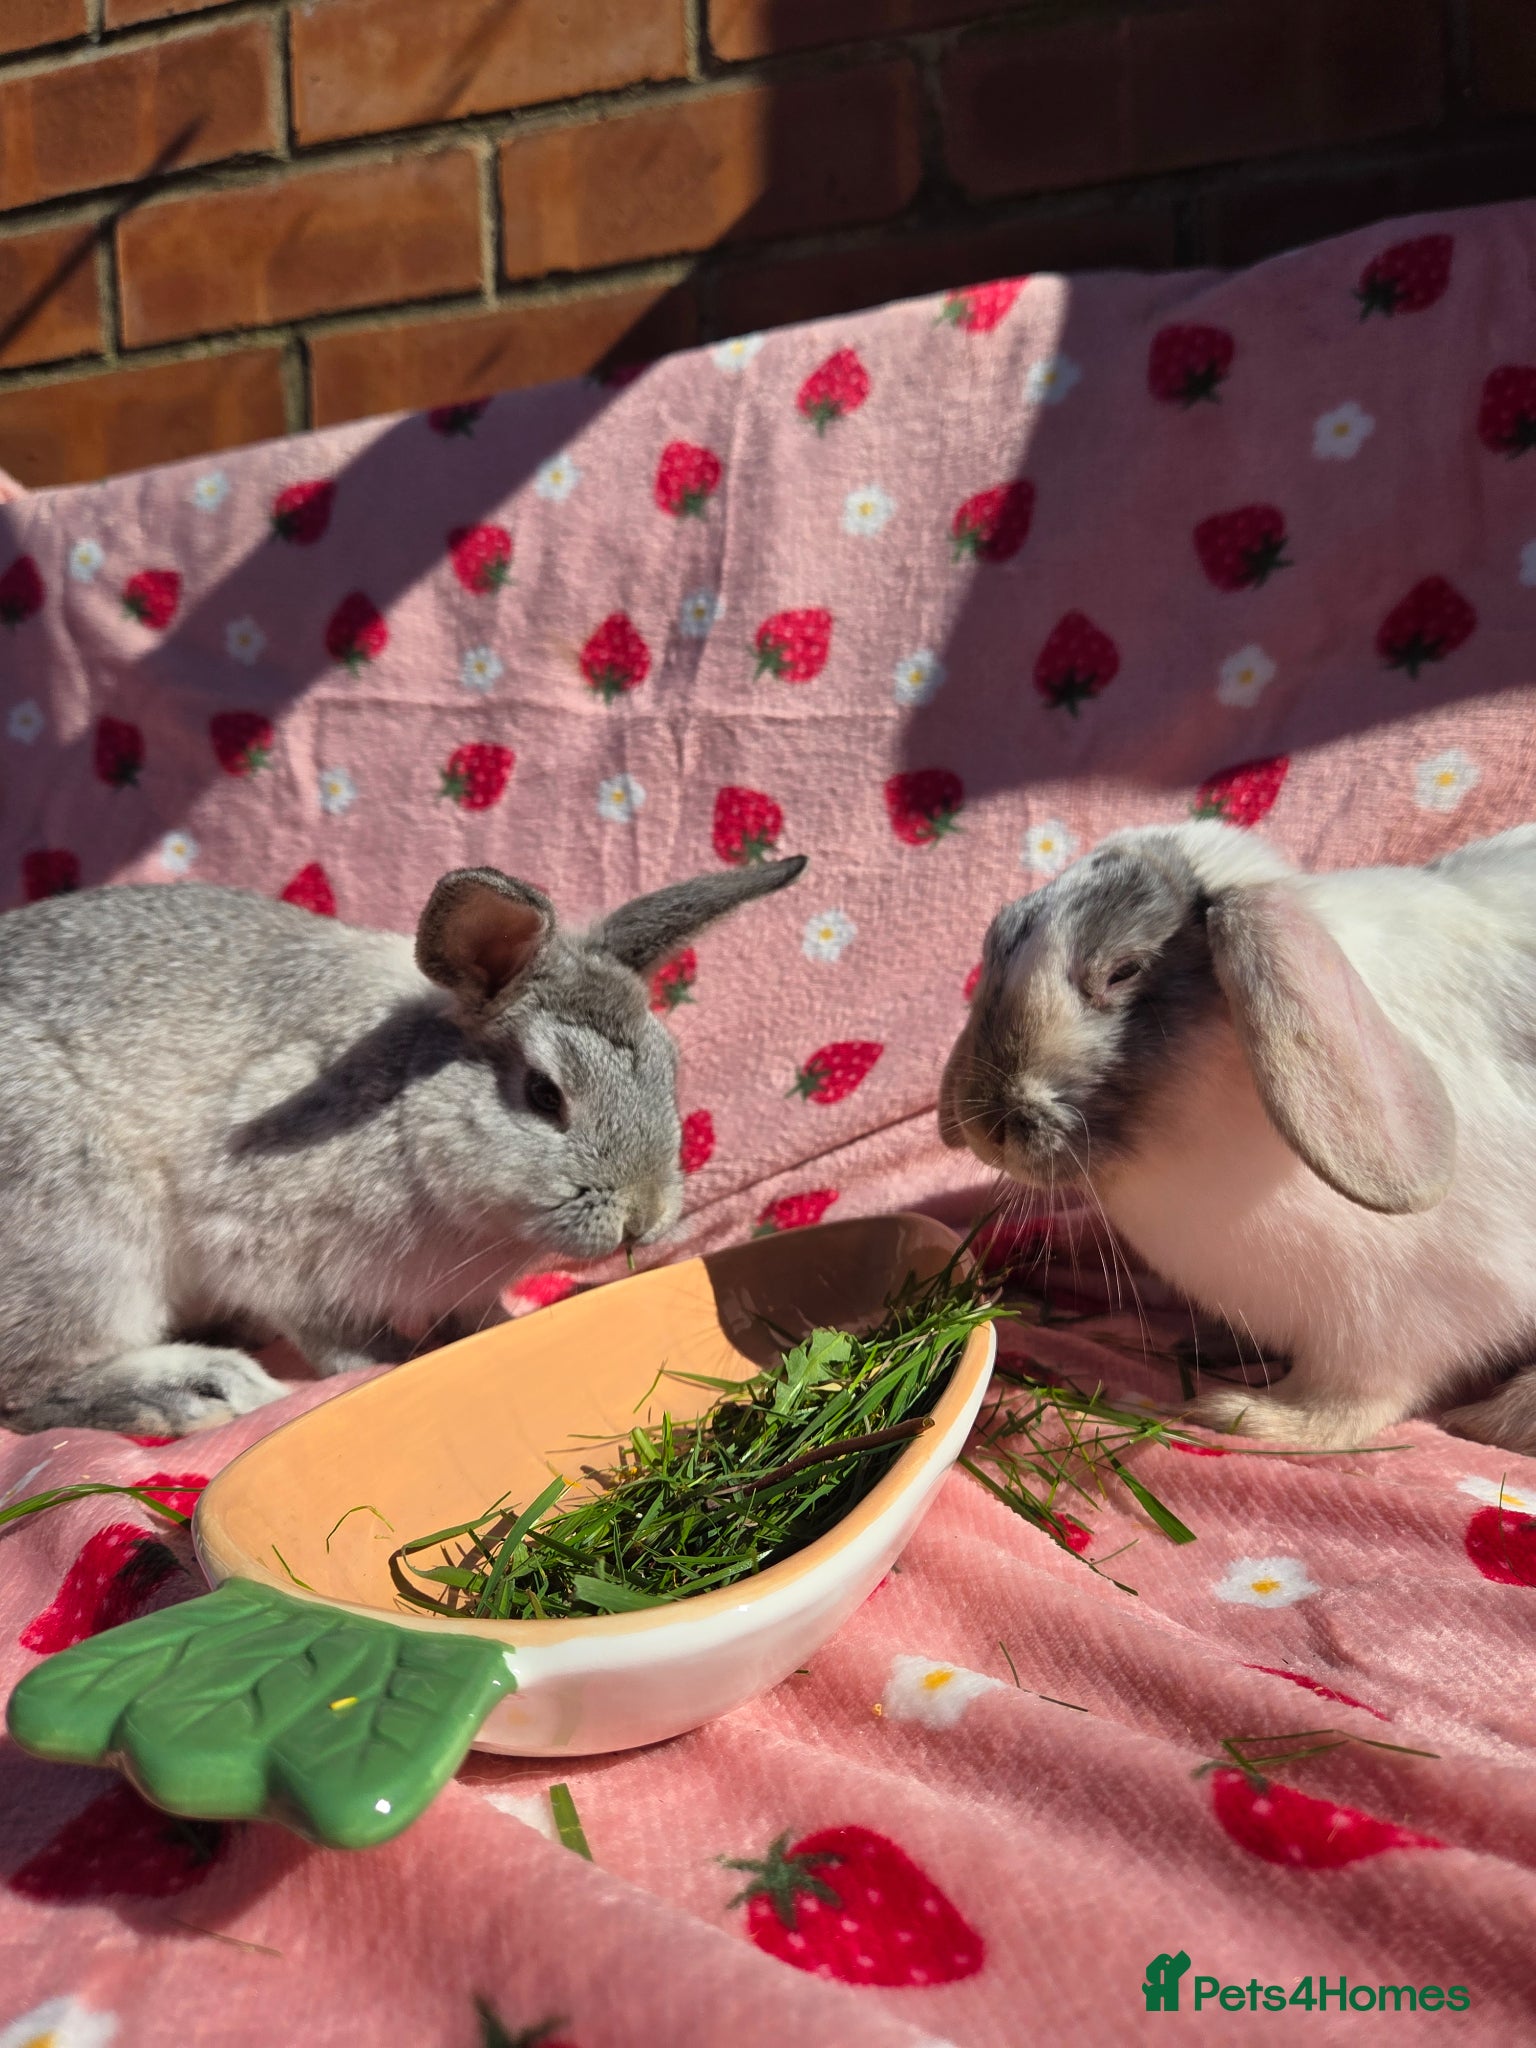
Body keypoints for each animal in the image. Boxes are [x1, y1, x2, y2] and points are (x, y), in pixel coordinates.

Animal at [0, 856, 805, 1436]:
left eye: (670, 1068)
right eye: (545, 1093)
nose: (643, 1218)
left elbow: (478, 1321)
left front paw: (508, 1330)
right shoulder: (265, 1245)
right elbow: (329, 1334)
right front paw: (381, 1364)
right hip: (82, 1243)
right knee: (31, 1388)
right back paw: (200, 1392)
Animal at [939, 817, 1536, 1452]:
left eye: (1124, 969)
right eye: (995, 943)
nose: (987, 1126)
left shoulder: (1391, 1329)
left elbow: (1344, 1405)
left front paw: (1245, 1415)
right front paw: (1208, 1346)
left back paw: (1491, 1419)